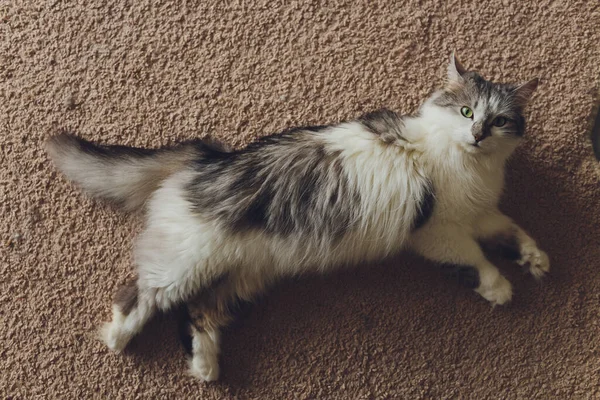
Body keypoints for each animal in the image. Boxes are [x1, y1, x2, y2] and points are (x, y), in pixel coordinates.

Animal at [45, 54, 548, 382]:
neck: (475, 167)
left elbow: (513, 230)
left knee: (201, 312)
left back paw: (205, 368)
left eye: (499, 121)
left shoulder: (479, 214)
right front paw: (500, 287)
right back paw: (117, 338)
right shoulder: (440, 231)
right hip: (186, 264)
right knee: (141, 295)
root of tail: (210, 159)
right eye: (466, 111)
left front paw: (536, 260)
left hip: (244, 277)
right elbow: (477, 259)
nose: (478, 134)